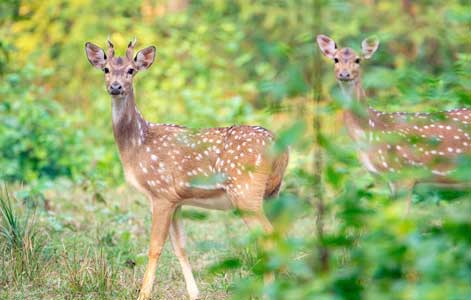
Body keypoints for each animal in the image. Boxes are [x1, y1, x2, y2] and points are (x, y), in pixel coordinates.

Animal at [86, 39, 290, 300]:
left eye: (131, 70)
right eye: (106, 69)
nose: (115, 86)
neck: (138, 144)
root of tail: (280, 145)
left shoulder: (160, 193)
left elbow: (155, 247)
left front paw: (143, 294)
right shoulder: (177, 199)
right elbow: (181, 246)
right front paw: (194, 293)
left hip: (245, 192)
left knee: (268, 238)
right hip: (272, 192)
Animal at [318, 34, 471, 211]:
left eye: (358, 60)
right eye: (335, 59)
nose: (344, 74)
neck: (370, 131)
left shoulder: (403, 173)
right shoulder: (378, 177)